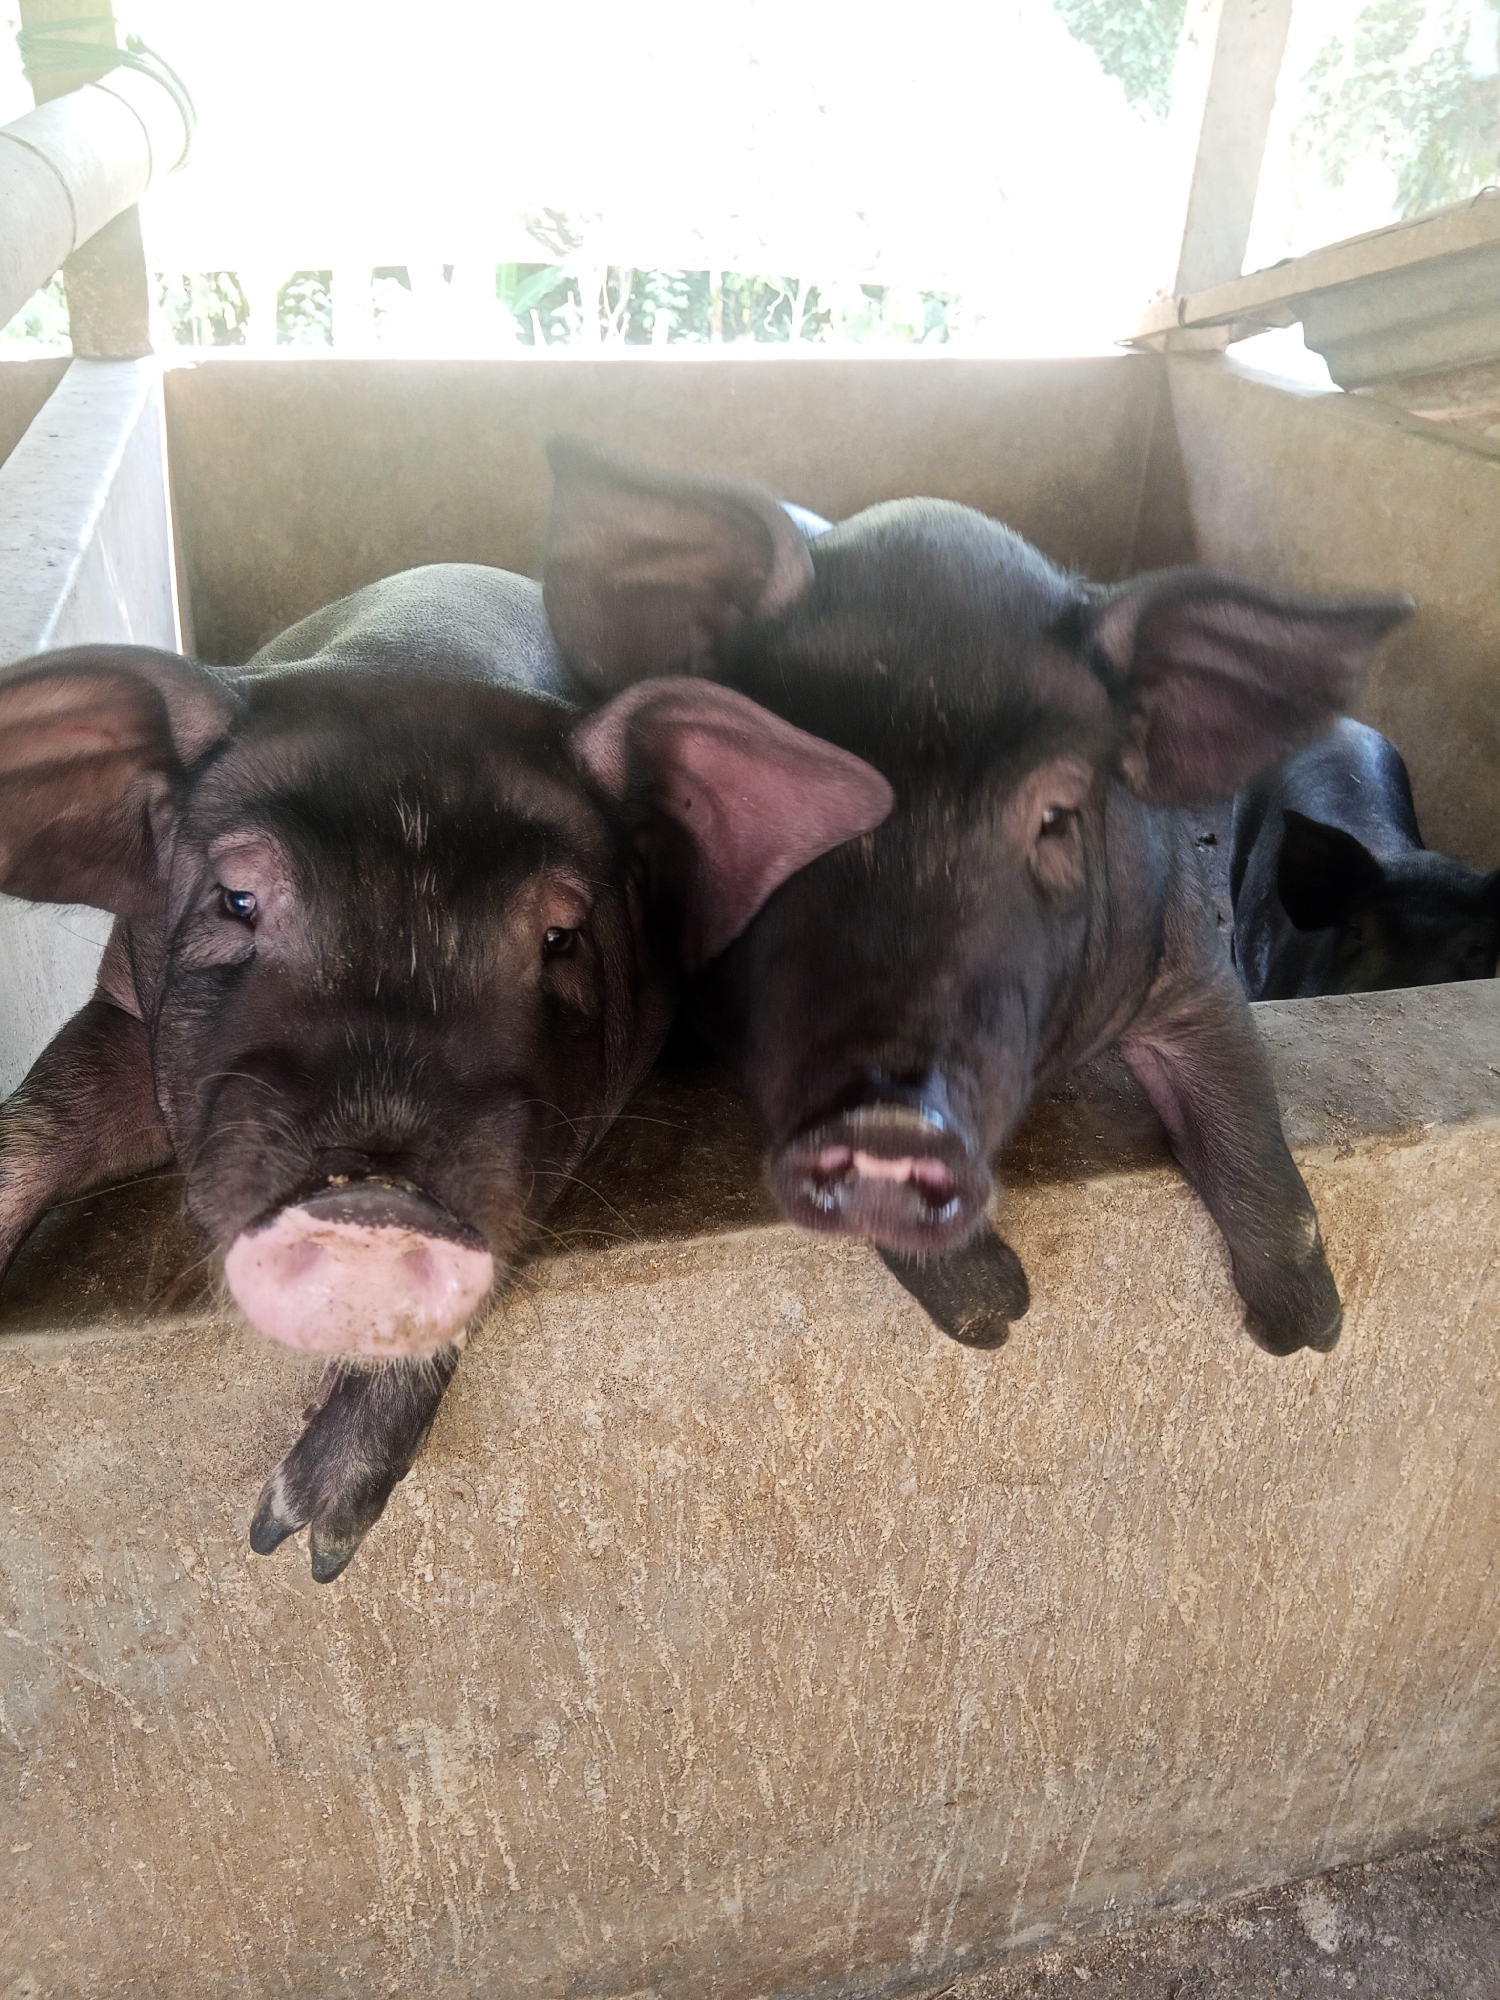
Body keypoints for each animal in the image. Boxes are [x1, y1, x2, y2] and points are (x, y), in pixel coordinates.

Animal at [0, 562, 891, 1578]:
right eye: (237, 899)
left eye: (560, 936)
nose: (376, 1194)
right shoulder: (124, 1006)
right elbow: (36, 1128)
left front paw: (304, 1543)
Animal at [543, 441, 1414, 1357]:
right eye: (791, 800)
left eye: (1057, 816)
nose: (887, 1118)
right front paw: (997, 1316)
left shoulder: (1183, 959)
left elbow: (1242, 1114)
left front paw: (1307, 1335)